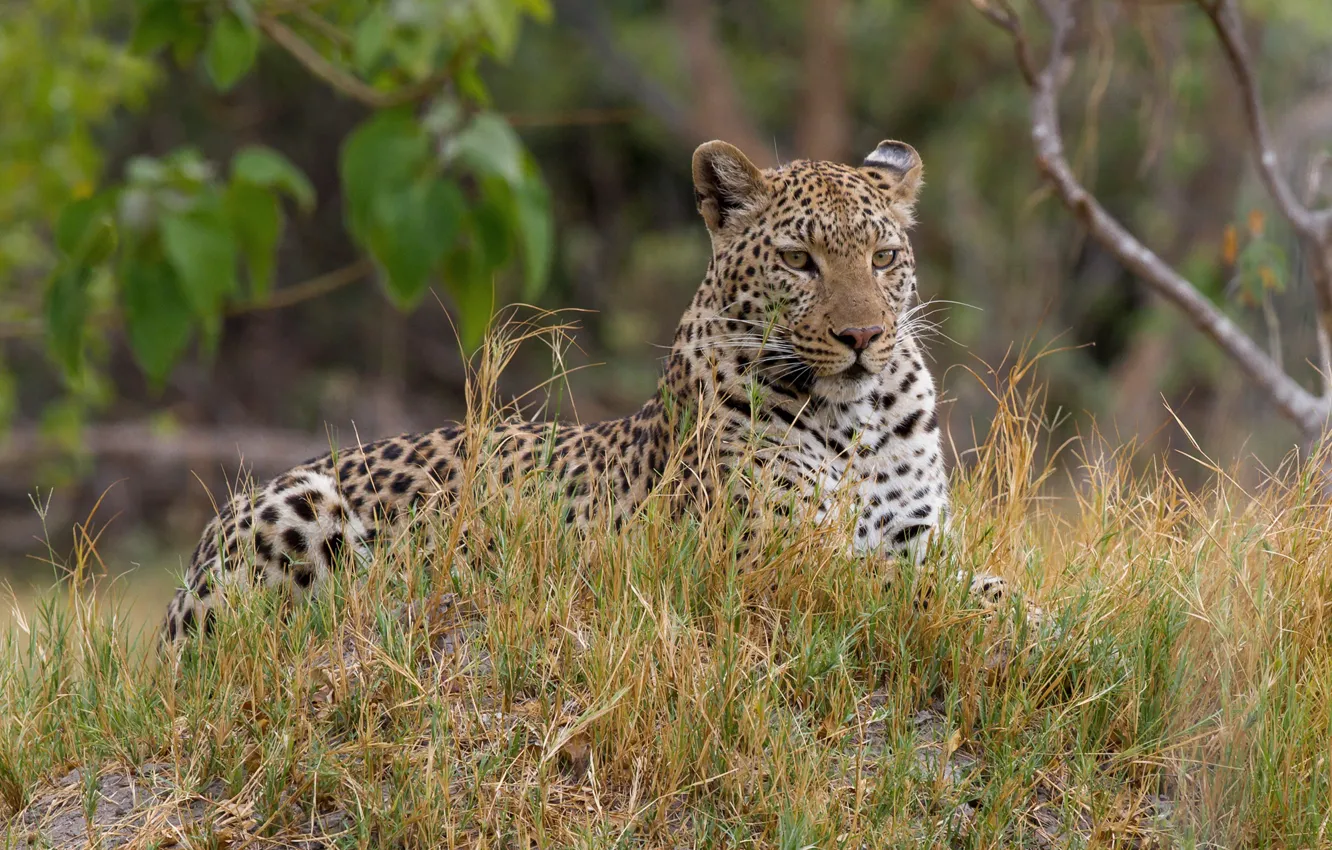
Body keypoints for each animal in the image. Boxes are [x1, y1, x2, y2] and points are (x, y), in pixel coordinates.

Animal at [166, 141, 1017, 644]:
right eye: (799, 260)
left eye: (883, 258)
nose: (863, 336)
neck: (858, 420)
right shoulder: (767, 558)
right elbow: (916, 589)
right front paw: (1025, 619)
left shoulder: (919, 534)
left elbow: (970, 577)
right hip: (298, 504)